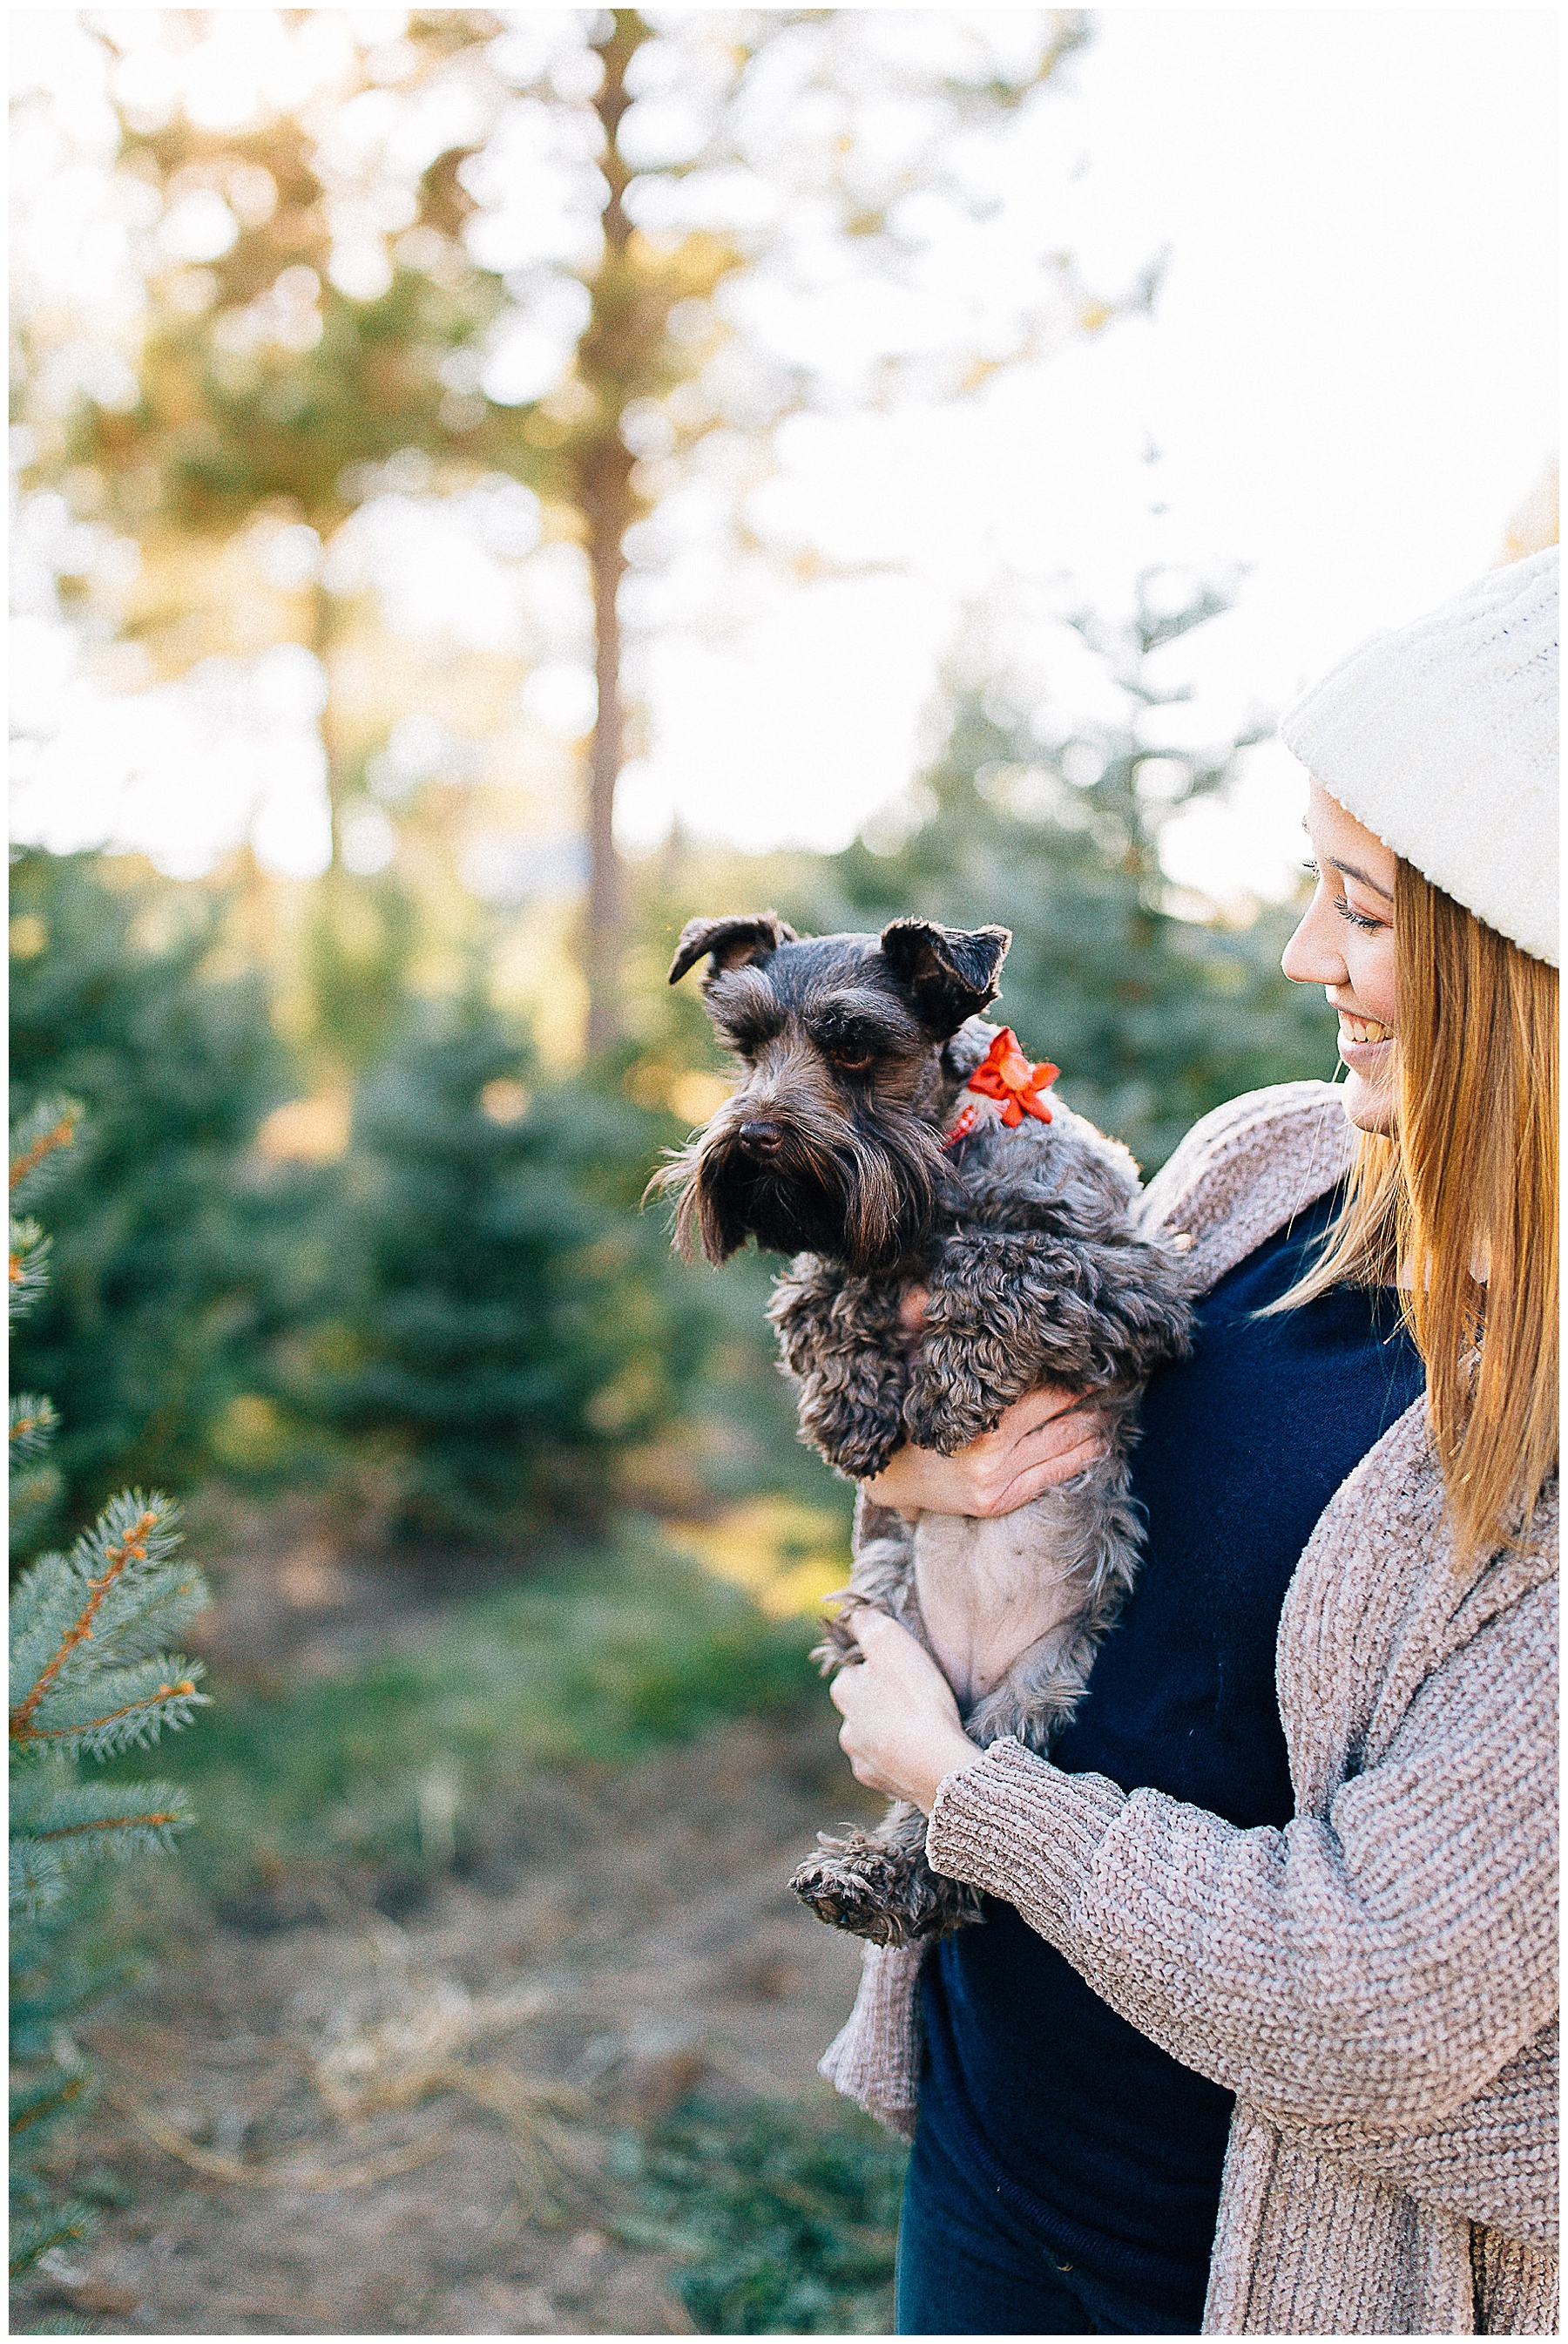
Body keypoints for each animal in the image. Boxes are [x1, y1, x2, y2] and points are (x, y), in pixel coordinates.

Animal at [646, 904, 1186, 1950]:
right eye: (745, 1046)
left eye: (854, 1045)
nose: (755, 1138)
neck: (937, 1170)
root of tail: (976, 1674)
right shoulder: (840, 1251)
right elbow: (822, 1287)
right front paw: (851, 1407)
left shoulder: (1142, 1283)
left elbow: (998, 1259)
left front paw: (946, 1387)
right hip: (887, 1619)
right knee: (923, 1822)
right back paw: (860, 1877)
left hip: (1034, 1691)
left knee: (959, 1816)